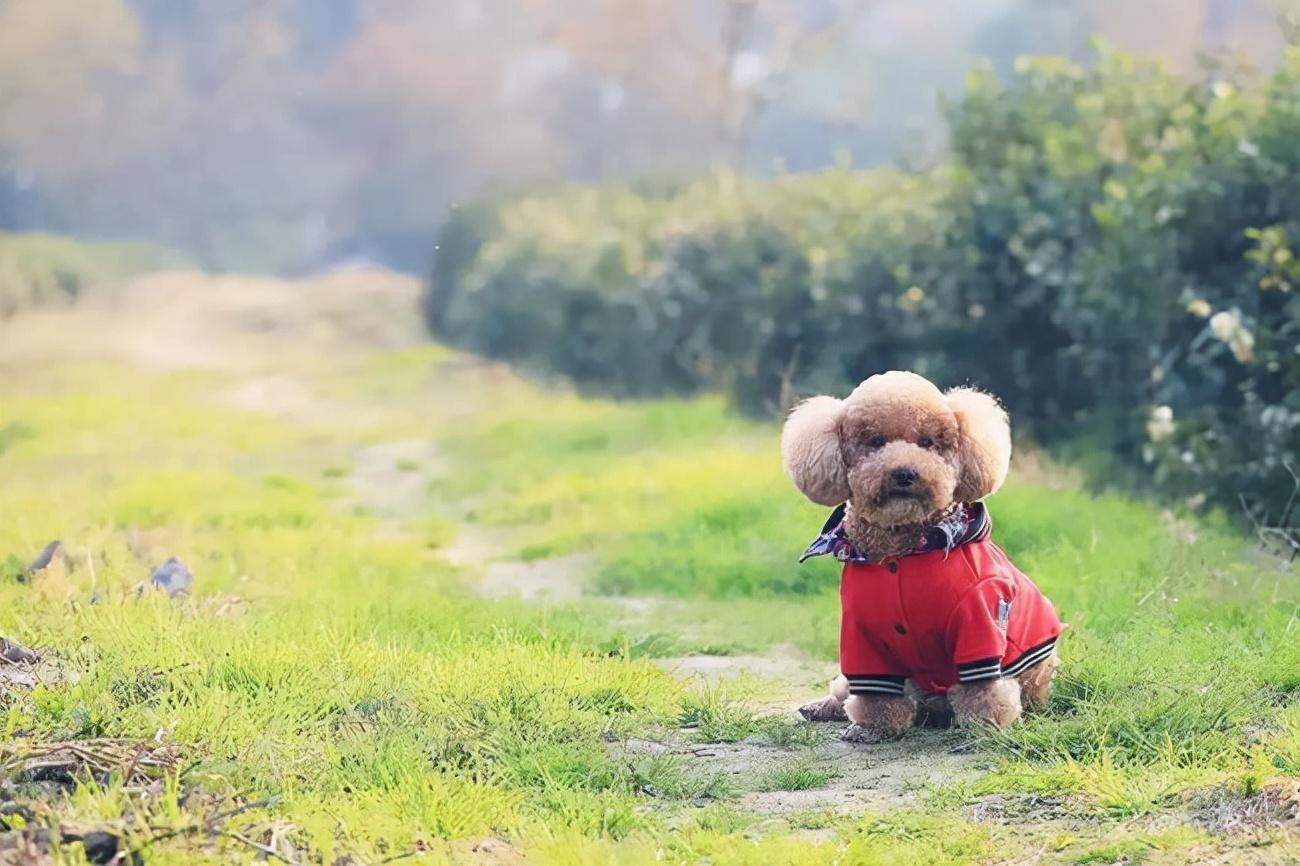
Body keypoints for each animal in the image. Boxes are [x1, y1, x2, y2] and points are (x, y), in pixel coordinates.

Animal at [780, 366, 1055, 738]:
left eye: (927, 443)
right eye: (875, 442)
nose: (905, 473)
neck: (903, 554)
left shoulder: (980, 620)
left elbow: (983, 687)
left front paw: (986, 725)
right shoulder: (860, 633)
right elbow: (874, 691)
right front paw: (873, 727)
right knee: (845, 690)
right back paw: (824, 707)